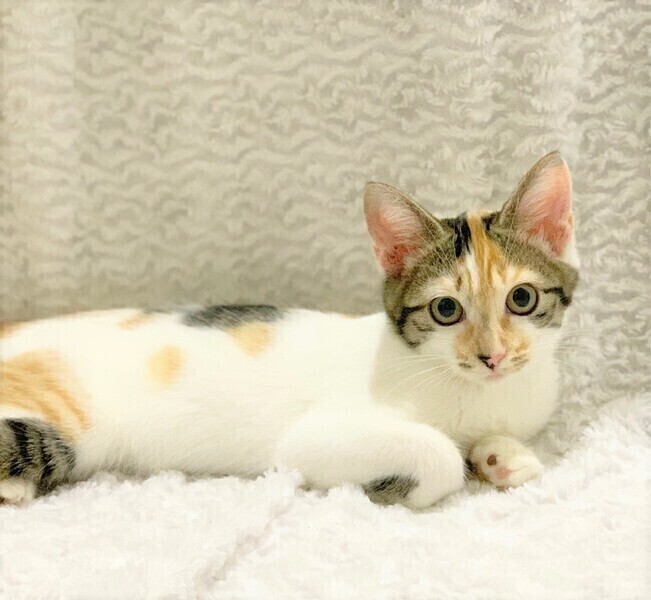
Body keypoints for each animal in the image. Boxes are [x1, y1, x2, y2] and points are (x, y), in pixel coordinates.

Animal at [0, 151, 578, 509]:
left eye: (521, 299)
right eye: (445, 310)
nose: (492, 357)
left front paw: (503, 457)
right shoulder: (311, 440)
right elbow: (436, 455)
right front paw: (405, 483)